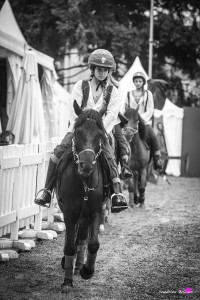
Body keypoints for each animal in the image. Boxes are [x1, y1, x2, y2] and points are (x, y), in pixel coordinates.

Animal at [56, 102, 107, 292]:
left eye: (100, 135)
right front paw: (67, 281)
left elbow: (93, 243)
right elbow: (69, 245)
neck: (84, 183)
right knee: (73, 238)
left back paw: (78, 265)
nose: (86, 165)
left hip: (84, 216)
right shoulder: (69, 213)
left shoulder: (95, 211)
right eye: (77, 132)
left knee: (82, 237)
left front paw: (87, 270)